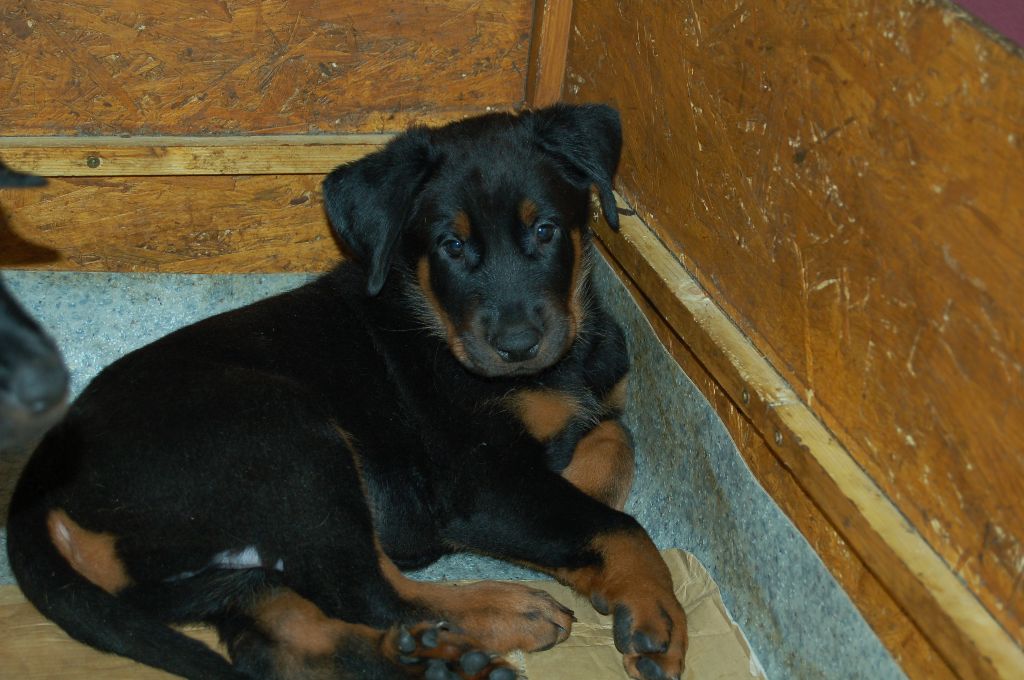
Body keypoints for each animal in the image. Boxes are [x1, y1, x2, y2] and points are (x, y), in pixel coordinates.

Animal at [7, 105, 687, 680]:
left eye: (545, 230)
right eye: (451, 246)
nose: (518, 345)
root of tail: (39, 486)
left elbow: (613, 438)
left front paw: (584, 479)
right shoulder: (478, 481)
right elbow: (618, 524)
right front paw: (653, 614)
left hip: (219, 571)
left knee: (282, 638)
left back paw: (440, 660)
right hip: (286, 440)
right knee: (369, 591)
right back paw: (501, 614)